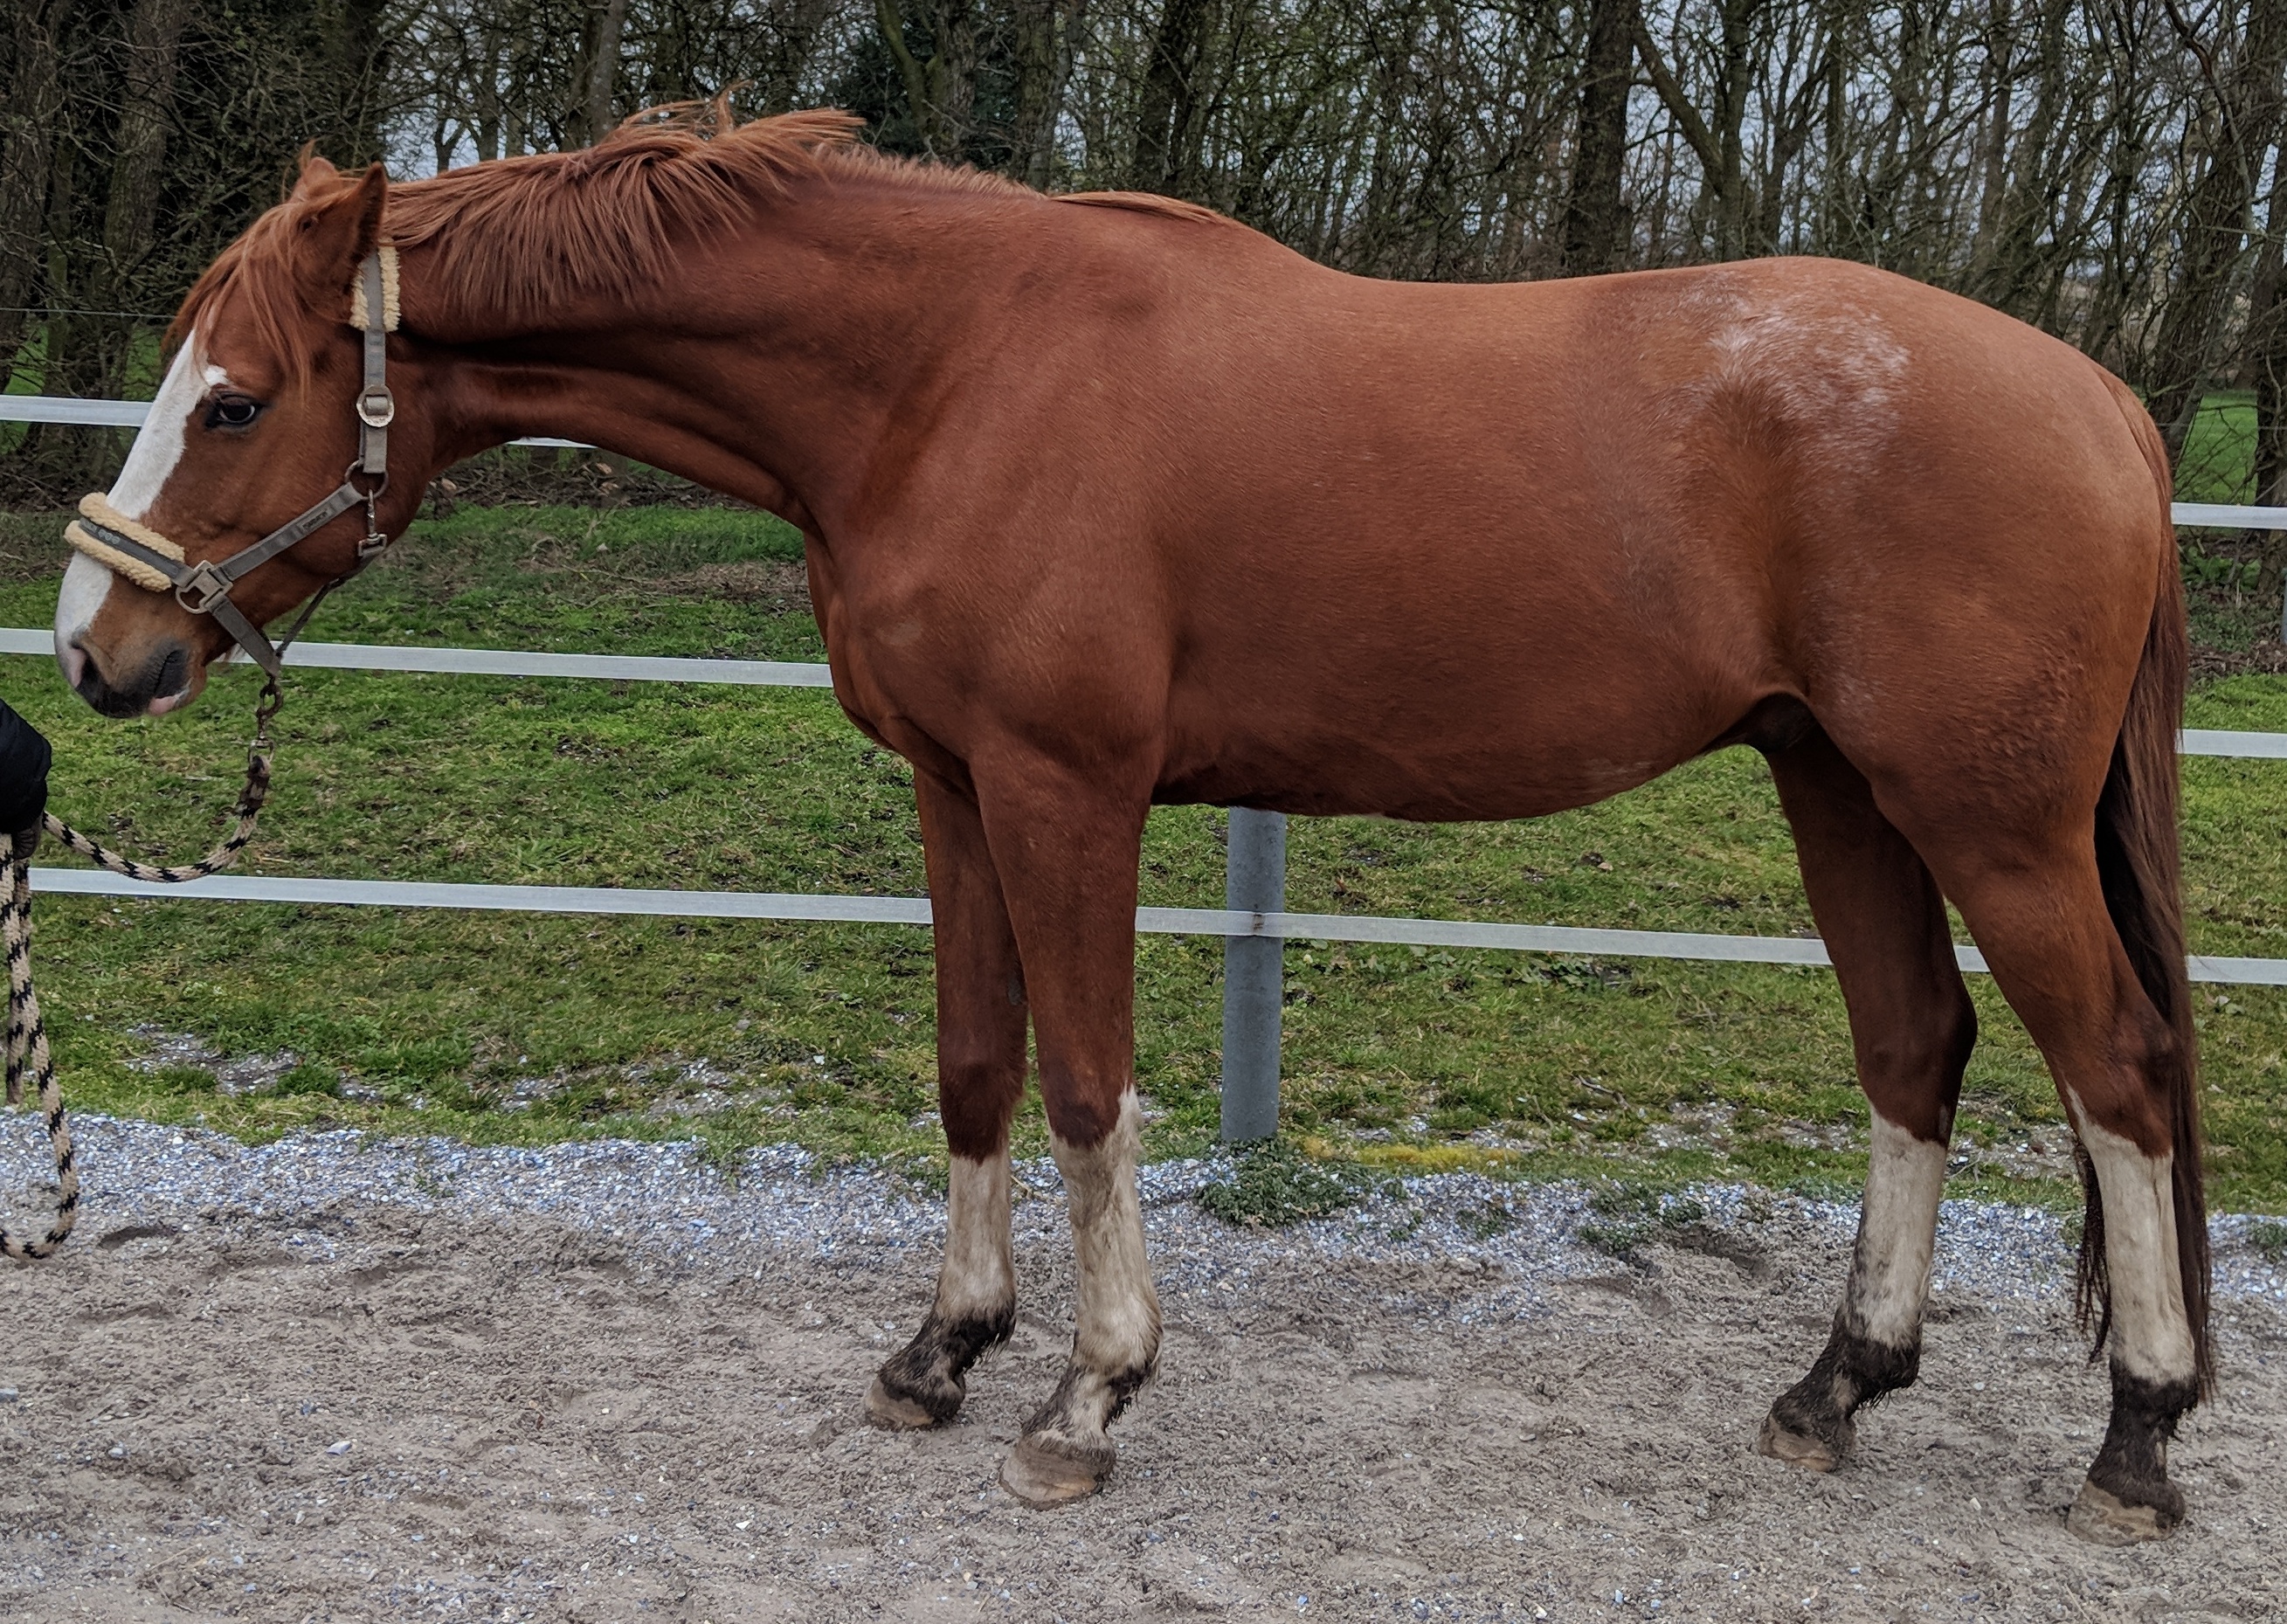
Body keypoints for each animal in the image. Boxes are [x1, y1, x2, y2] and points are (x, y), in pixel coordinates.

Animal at [51, 107, 2209, 1541]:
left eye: (235, 398)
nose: (97, 648)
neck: (947, 374)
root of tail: (2099, 396)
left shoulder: (1063, 788)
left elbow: (1089, 1081)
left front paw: (1088, 1388)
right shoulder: (949, 786)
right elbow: (975, 1066)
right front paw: (942, 1349)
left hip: (1985, 820)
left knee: (2111, 1065)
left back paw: (2135, 1431)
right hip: (1834, 783)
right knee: (1912, 1049)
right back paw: (1837, 1384)